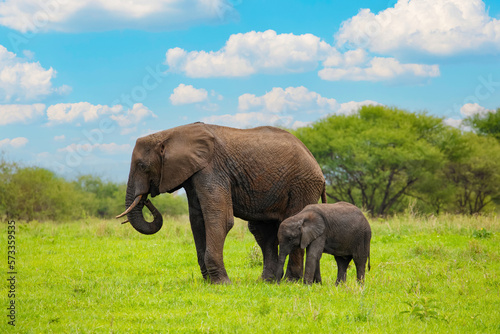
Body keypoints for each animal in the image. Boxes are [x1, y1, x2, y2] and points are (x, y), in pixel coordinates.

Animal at [117, 122, 328, 284]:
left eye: (143, 166)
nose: (146, 199)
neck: (170, 134)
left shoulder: (211, 169)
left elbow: (219, 219)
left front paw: (221, 283)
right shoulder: (194, 175)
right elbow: (198, 221)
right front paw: (209, 282)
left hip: (303, 185)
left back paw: (291, 282)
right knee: (262, 232)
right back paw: (267, 282)